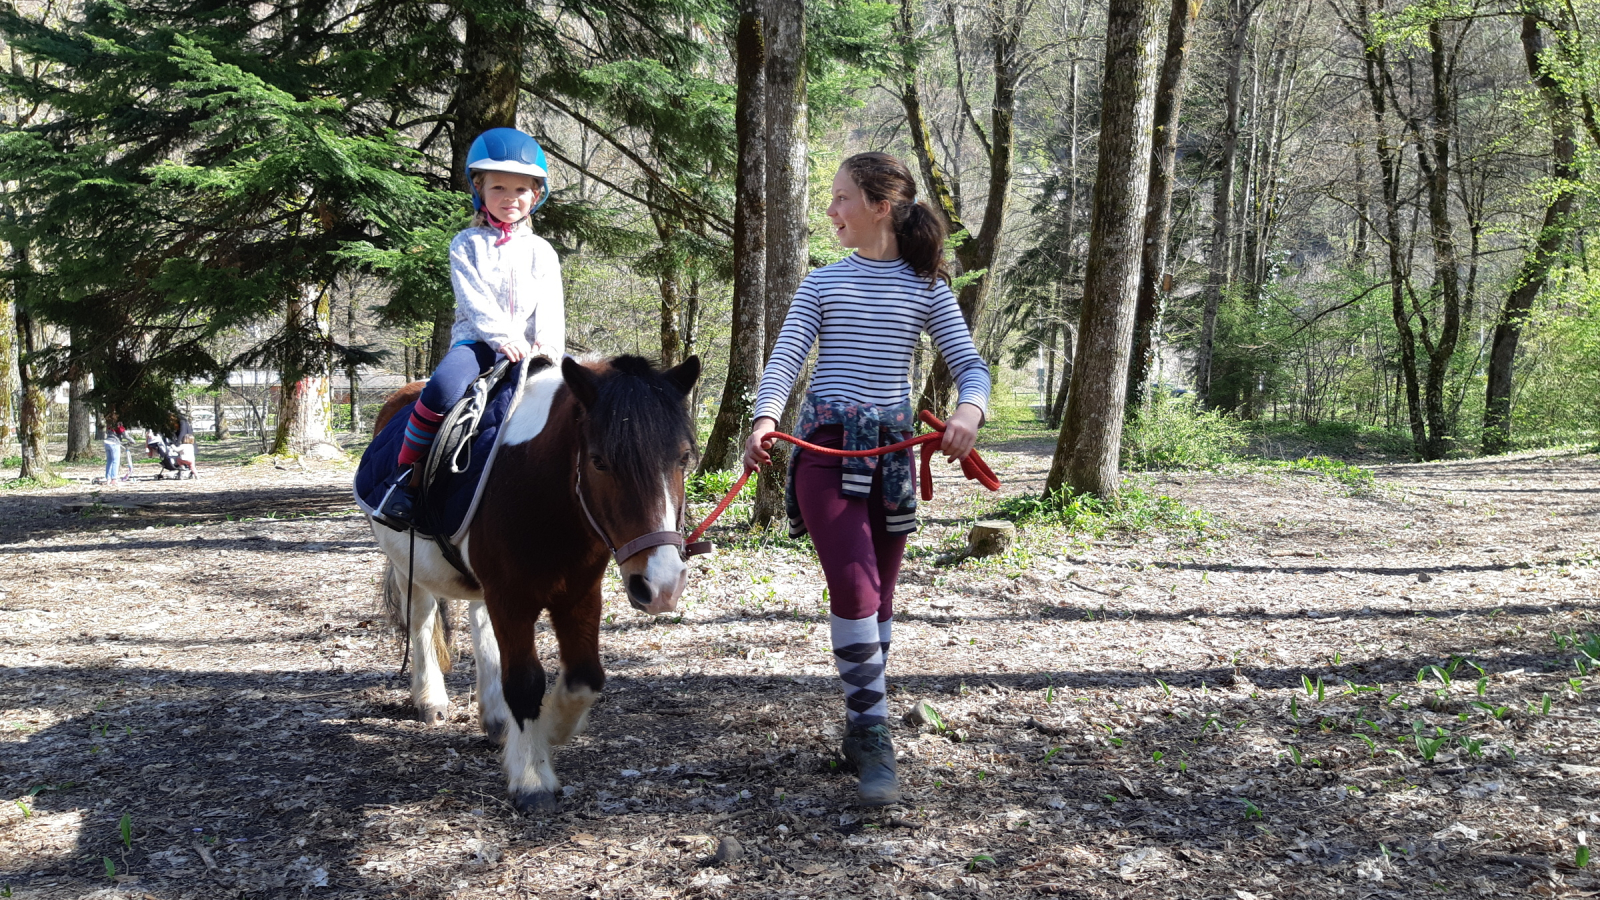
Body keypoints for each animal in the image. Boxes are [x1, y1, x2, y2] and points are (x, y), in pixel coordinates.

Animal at [374, 353, 707, 810]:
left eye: (683, 458)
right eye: (599, 461)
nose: (662, 585)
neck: (541, 491)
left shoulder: (579, 595)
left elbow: (586, 677)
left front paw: (551, 729)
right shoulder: (511, 597)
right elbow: (525, 682)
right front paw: (532, 776)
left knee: (479, 623)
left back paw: (496, 718)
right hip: (408, 563)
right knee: (422, 620)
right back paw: (431, 700)